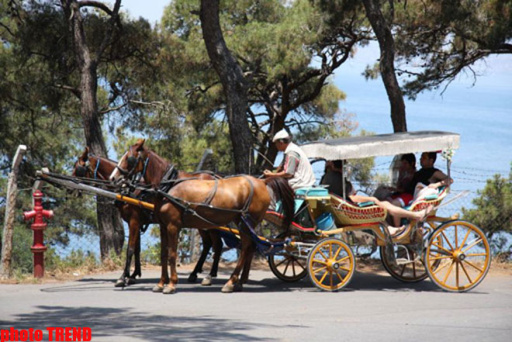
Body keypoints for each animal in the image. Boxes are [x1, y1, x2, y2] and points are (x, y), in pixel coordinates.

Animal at [72, 148, 226, 288]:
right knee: (209, 244)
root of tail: (219, 178)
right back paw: (197, 273)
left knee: (217, 244)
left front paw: (123, 277)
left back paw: (209, 275)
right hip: (201, 223)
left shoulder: (134, 221)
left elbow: (130, 249)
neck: (131, 189)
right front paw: (134, 275)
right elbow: (137, 249)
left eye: (77, 168)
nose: (70, 188)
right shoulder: (137, 222)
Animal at [110, 139, 294, 294]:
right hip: (240, 222)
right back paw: (239, 282)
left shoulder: (172, 225)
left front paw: (171, 284)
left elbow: (172, 254)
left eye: (129, 158)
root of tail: (262, 182)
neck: (169, 186)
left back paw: (230, 282)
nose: (113, 178)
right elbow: (163, 254)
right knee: (249, 246)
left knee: (246, 247)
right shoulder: (163, 225)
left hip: (246, 221)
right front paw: (161, 283)